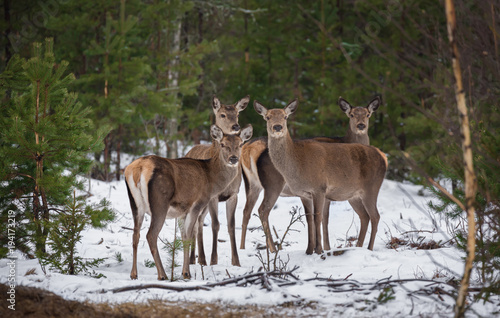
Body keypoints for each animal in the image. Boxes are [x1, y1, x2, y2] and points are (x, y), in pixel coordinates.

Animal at [123, 124, 252, 278]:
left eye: (240, 144)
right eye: (222, 144)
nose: (233, 158)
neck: (211, 179)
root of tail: (138, 169)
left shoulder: (182, 211)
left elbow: (184, 236)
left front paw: (186, 269)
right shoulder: (196, 204)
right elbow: (189, 236)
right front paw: (186, 272)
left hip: (135, 204)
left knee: (135, 234)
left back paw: (133, 274)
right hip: (160, 203)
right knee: (151, 235)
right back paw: (163, 274)